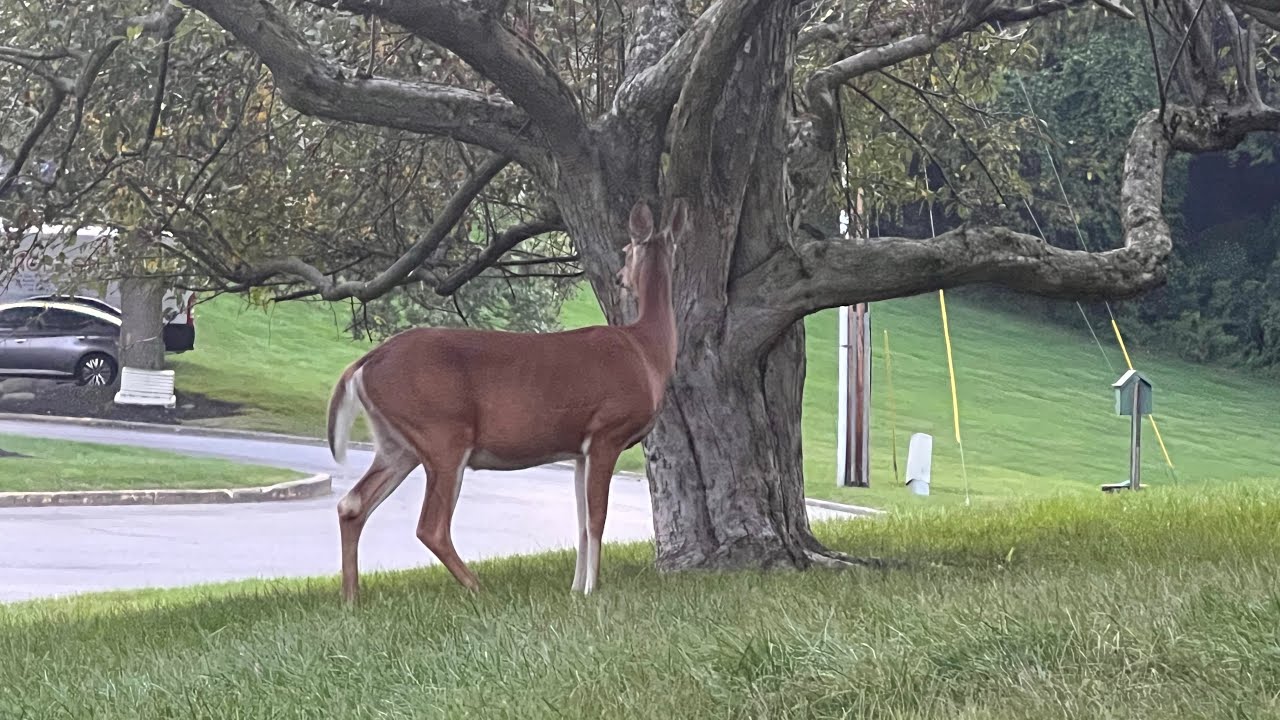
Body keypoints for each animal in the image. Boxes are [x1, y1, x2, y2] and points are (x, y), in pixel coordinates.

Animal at [325, 197, 686, 604]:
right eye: (626, 249)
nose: (620, 277)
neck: (646, 351)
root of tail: (363, 364)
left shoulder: (580, 448)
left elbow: (580, 521)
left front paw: (576, 589)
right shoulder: (607, 429)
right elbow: (596, 519)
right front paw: (592, 590)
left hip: (396, 442)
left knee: (352, 504)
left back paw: (351, 598)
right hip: (442, 432)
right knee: (431, 525)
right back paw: (478, 589)